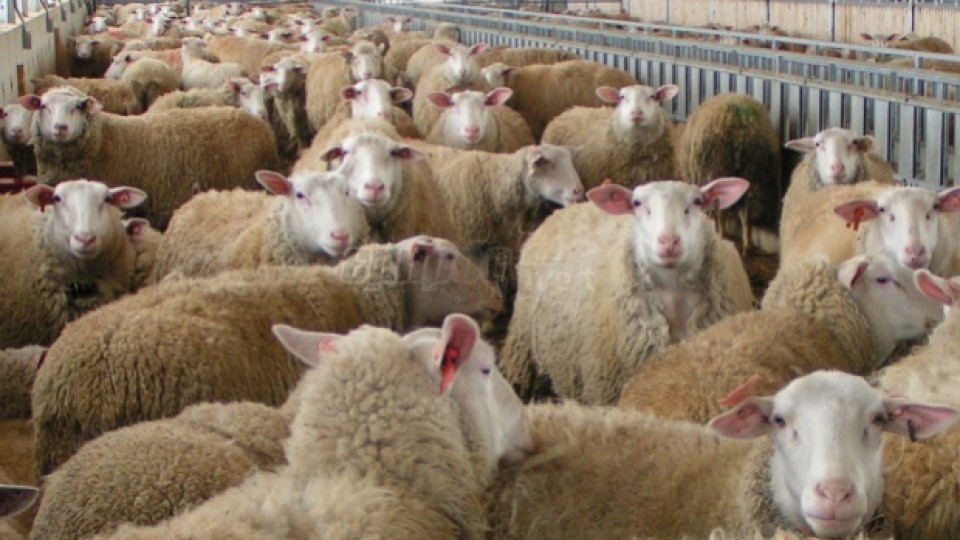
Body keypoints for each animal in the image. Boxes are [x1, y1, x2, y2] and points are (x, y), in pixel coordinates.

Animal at [677, 93, 781, 255]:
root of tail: (741, 129)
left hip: (720, 169)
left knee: (723, 210)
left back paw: (722, 235)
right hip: (752, 173)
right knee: (747, 211)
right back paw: (747, 244)